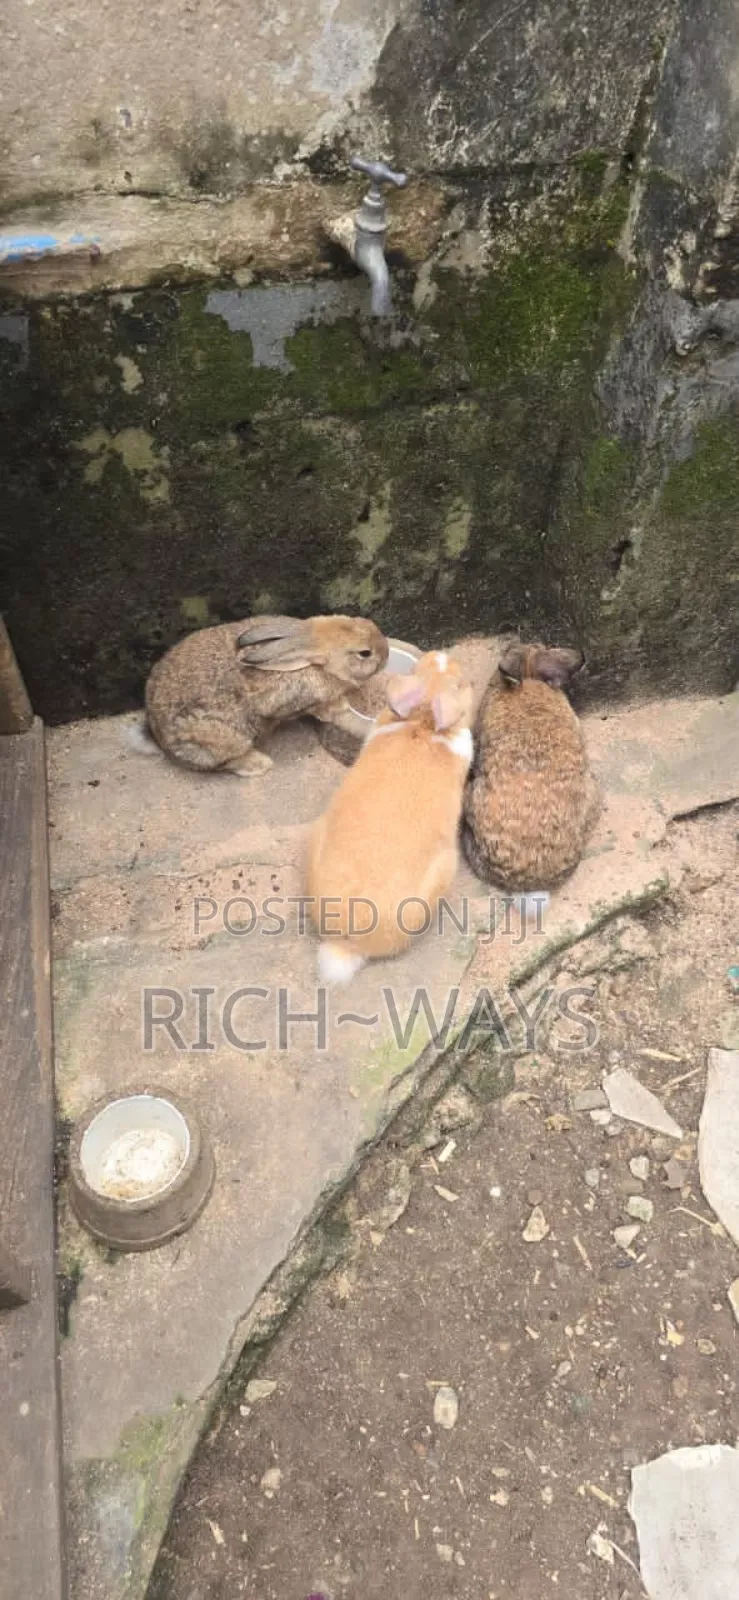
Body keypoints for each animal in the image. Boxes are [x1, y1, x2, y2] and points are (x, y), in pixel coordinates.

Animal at [143, 614, 388, 776]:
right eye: (365, 653)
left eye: (363, 621)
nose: (386, 654)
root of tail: (159, 737)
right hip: (222, 739)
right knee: (225, 762)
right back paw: (259, 764)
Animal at [307, 650, 474, 984]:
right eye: (461, 683)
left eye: (414, 669)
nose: (441, 654)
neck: (423, 721)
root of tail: (344, 943)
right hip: (444, 871)